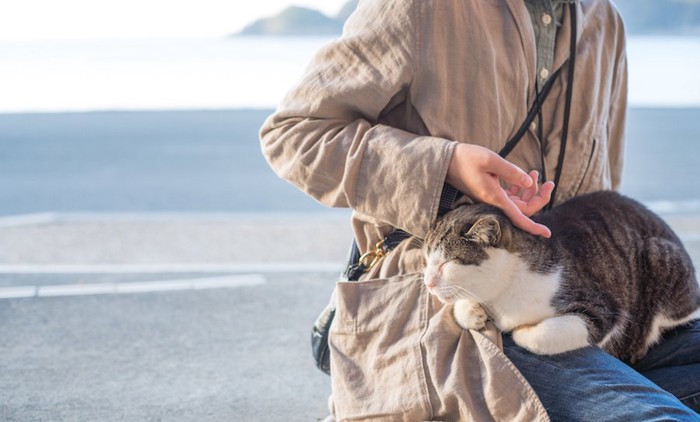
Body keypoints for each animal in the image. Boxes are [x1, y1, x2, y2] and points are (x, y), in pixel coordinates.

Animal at [422, 191, 700, 362]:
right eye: (427, 258)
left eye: (448, 262)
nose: (428, 282)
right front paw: (472, 311)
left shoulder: (605, 308)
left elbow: (549, 333)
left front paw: (521, 330)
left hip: (661, 259)